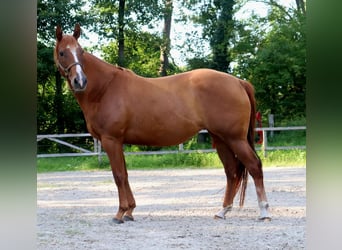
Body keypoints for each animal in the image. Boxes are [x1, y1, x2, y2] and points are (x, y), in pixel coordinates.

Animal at [55, 23, 270, 223]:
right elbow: (125, 174)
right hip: (221, 139)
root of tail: (238, 82)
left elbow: (118, 176)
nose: (80, 81)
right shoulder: (118, 142)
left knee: (254, 166)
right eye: (62, 52)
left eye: (81, 52)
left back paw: (264, 212)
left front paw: (120, 213)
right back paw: (222, 211)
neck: (105, 88)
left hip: (235, 139)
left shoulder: (111, 140)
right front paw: (130, 211)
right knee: (232, 172)